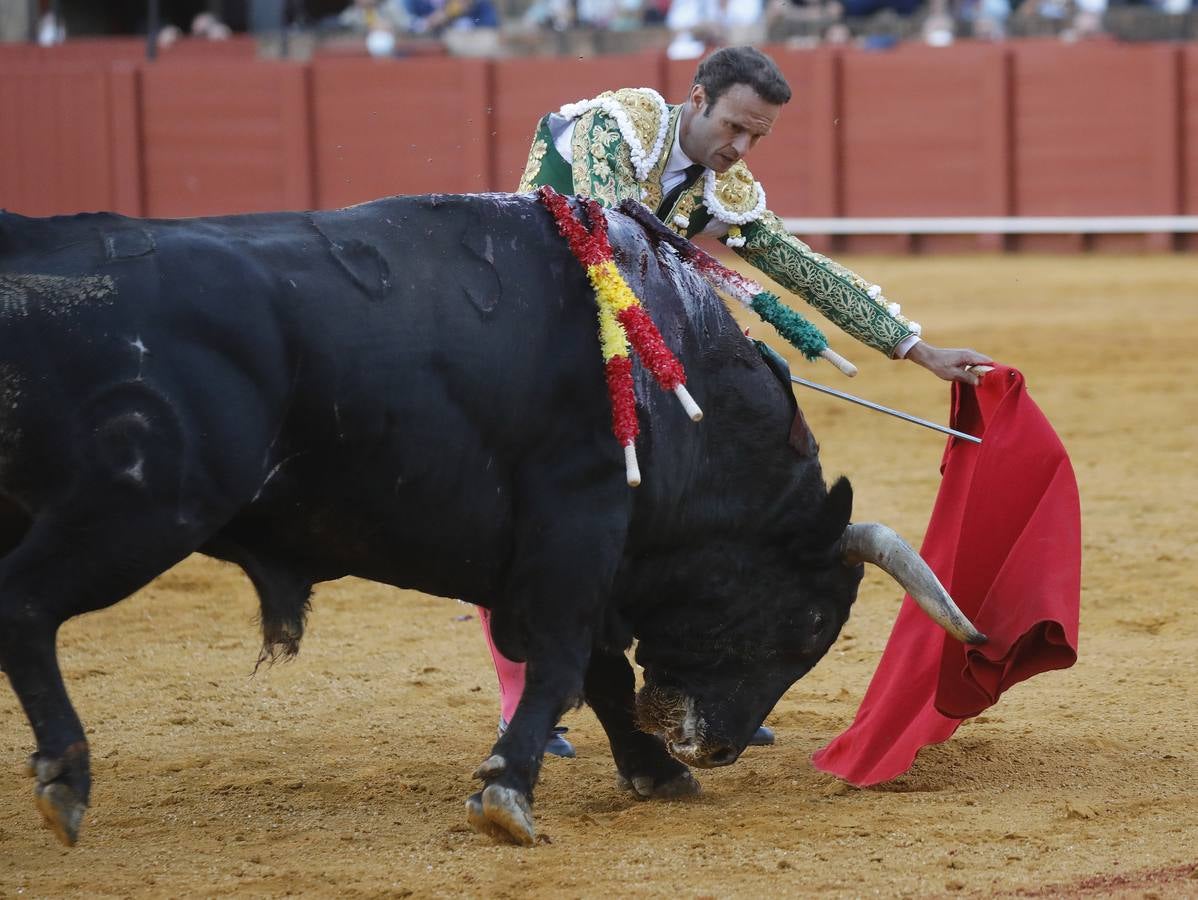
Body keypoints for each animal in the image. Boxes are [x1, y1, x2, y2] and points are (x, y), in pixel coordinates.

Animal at [0, 194, 982, 848]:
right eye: (812, 624)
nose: (717, 749)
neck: (673, 376)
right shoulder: (580, 524)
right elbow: (562, 663)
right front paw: (510, 791)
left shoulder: (578, 555)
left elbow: (600, 674)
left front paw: (651, 771)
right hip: (142, 507)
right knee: (25, 606)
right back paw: (66, 780)